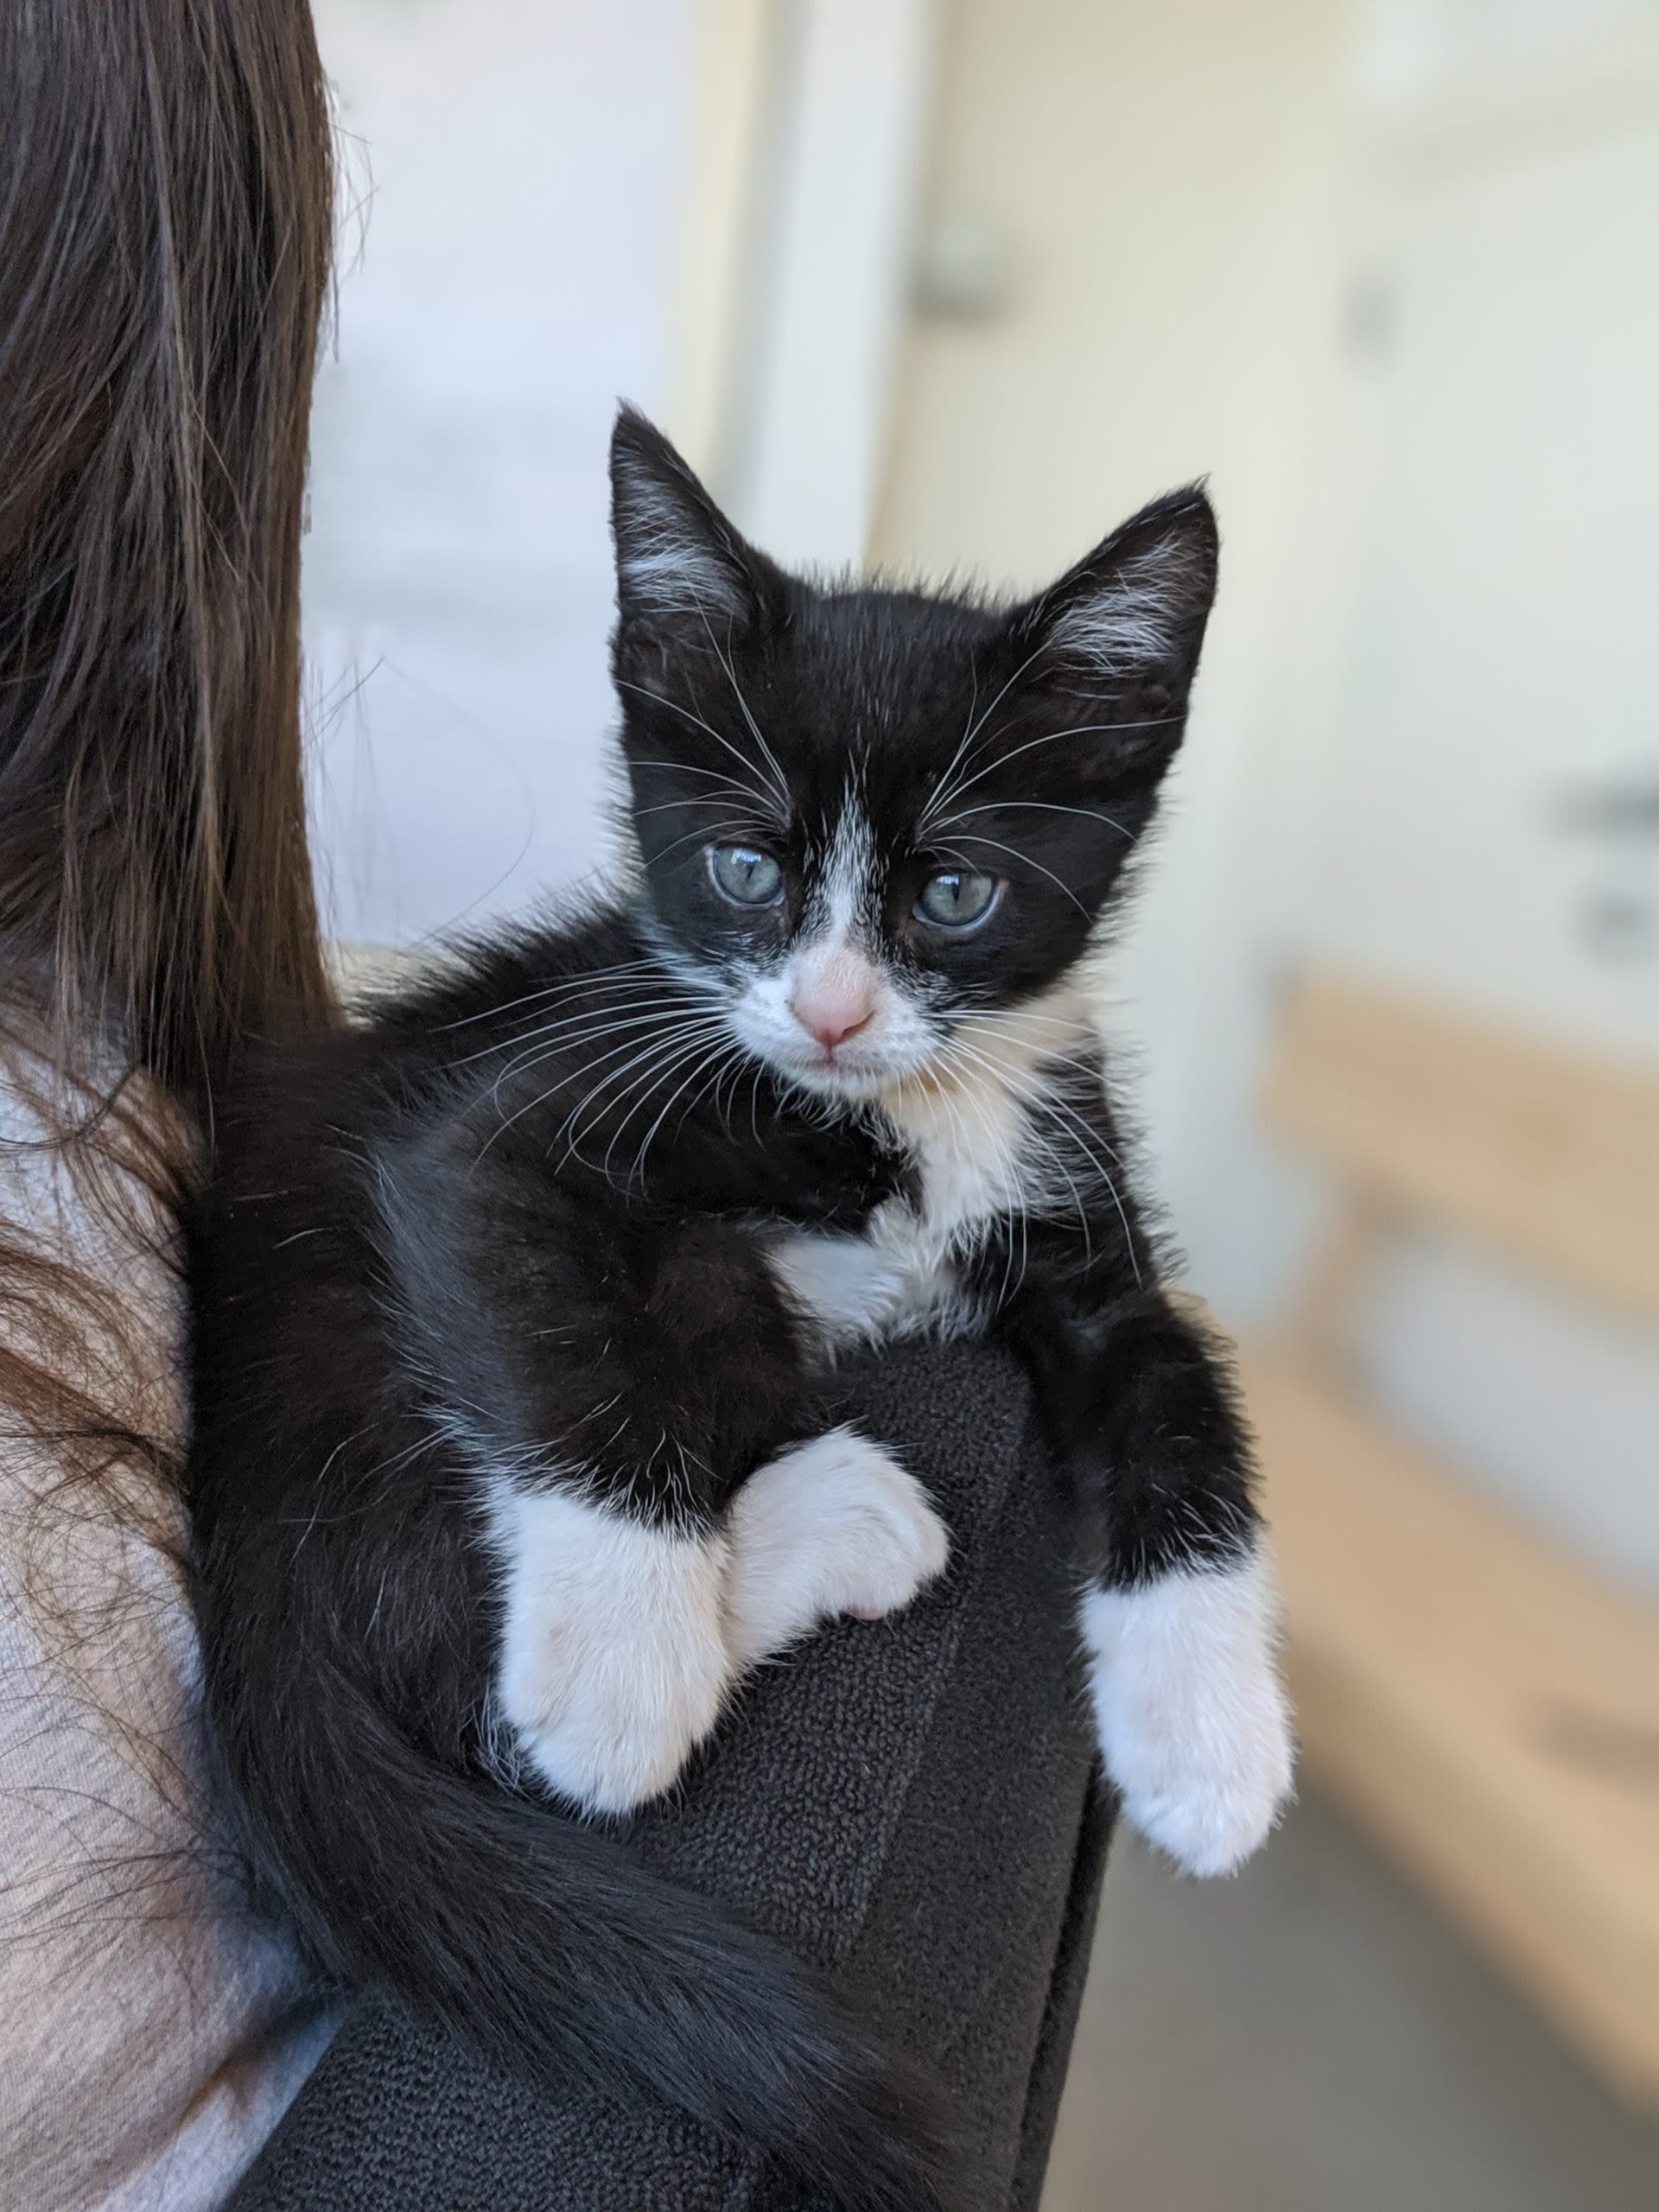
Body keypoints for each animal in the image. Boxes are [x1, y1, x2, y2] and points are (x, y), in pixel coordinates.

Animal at [184, 416, 1300, 2212]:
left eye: (956, 895)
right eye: (743, 869)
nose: (832, 1010)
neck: (895, 1114)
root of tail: (234, 1534)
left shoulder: (1087, 1240)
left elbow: (1178, 1394)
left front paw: (1207, 1740)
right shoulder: (500, 1127)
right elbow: (555, 1332)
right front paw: (623, 1671)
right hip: (380, 1357)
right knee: (445, 1652)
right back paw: (819, 1531)